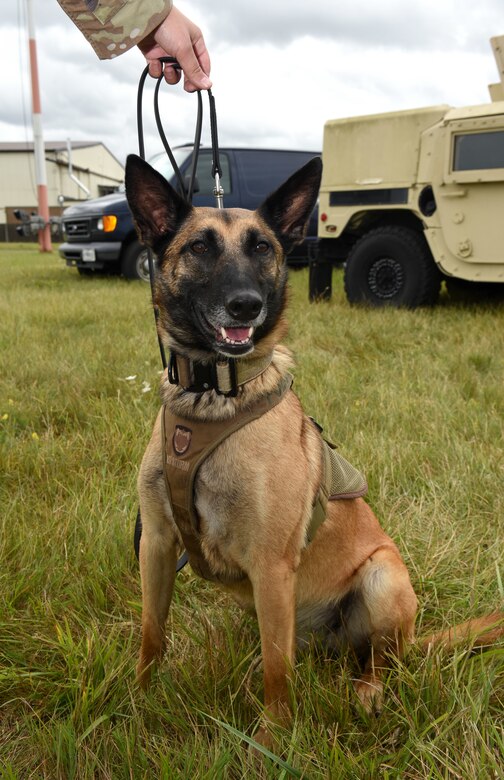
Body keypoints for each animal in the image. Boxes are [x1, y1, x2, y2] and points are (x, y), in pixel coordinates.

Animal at [124, 155, 502, 748]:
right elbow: (151, 633)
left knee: (376, 660)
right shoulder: (159, 545)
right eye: (199, 247)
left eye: (262, 248)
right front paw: (139, 702)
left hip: (382, 577)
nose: (246, 305)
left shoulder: (272, 565)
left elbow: (280, 676)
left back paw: (368, 692)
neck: (210, 400)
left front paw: (272, 742)